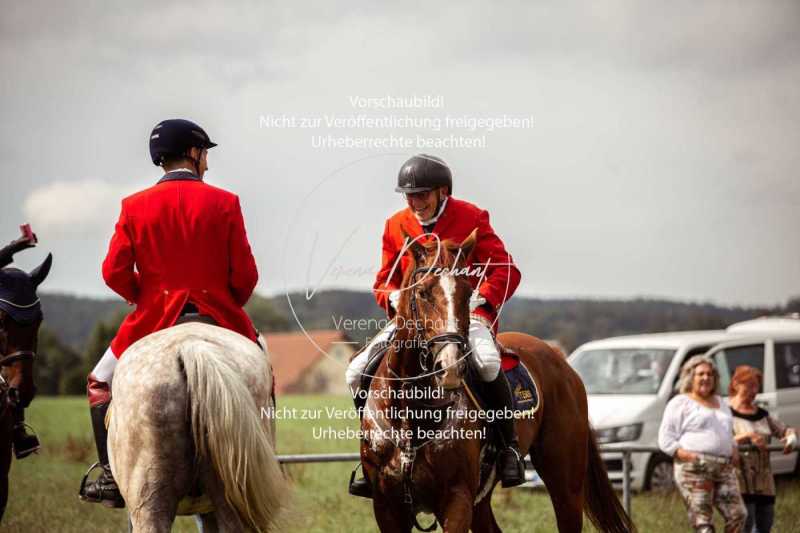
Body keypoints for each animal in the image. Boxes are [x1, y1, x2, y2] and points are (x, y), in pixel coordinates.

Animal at [360, 234, 632, 532]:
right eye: (422, 293)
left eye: (468, 293)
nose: (451, 367)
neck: (413, 414)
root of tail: (562, 362)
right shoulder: (387, 508)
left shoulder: (457, 499)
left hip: (565, 485)